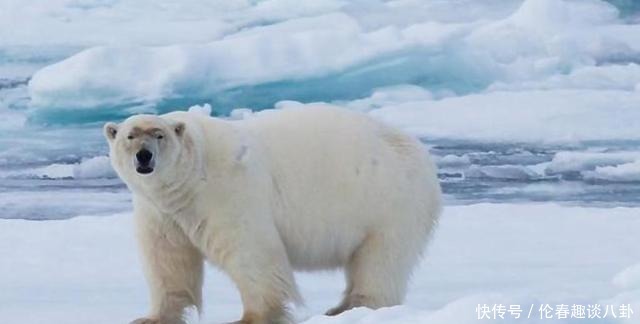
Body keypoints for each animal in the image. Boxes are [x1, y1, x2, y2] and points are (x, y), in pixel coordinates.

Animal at [105, 105, 442, 322]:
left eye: (159, 134)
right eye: (129, 136)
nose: (144, 156)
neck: (192, 176)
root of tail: (421, 154)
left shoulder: (227, 192)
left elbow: (250, 252)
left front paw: (251, 317)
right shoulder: (161, 211)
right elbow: (168, 260)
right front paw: (150, 317)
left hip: (388, 203)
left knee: (380, 260)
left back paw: (353, 307)